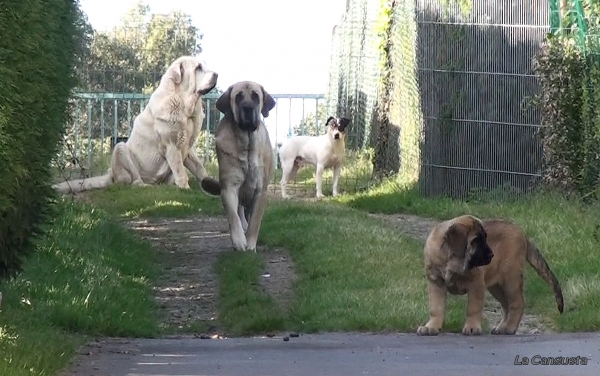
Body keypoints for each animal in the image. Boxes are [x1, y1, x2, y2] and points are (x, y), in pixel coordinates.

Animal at [53, 55, 218, 194]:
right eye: (198, 68)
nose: (216, 74)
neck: (184, 107)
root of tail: (110, 174)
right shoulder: (171, 146)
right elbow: (181, 172)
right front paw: (185, 189)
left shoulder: (188, 149)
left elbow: (200, 169)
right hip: (121, 149)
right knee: (134, 182)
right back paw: (146, 186)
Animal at [202, 82, 276, 253]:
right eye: (238, 97)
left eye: (255, 96)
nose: (247, 107)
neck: (247, 144)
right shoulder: (229, 187)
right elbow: (232, 215)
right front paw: (239, 241)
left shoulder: (261, 191)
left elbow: (255, 220)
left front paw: (250, 244)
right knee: (240, 211)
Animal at [418, 216, 564, 336]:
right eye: (475, 241)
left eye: (485, 239)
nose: (491, 255)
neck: (451, 259)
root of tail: (522, 233)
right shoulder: (436, 283)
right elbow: (436, 308)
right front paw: (431, 327)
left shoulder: (476, 283)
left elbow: (473, 308)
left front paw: (472, 327)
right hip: (497, 286)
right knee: (506, 305)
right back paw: (501, 327)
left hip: (510, 278)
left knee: (517, 303)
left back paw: (509, 328)